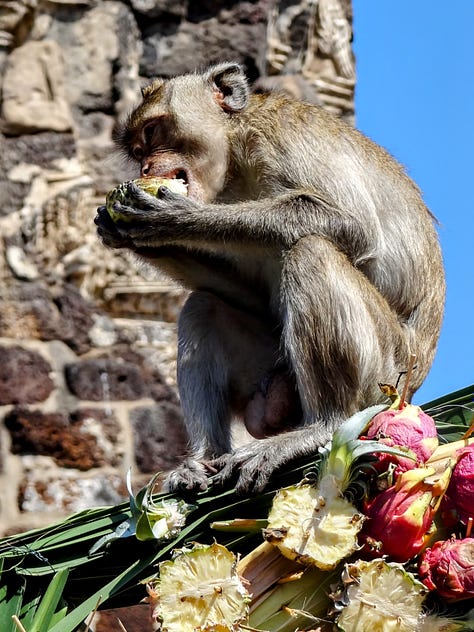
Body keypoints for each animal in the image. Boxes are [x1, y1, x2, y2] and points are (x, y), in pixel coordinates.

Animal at [95, 61, 444, 496]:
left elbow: (354, 226)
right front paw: (125, 233)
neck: (236, 154)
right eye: (139, 151)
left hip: (385, 373)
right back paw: (203, 461)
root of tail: (413, 384)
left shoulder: (285, 137)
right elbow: (250, 293)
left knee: (312, 253)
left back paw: (323, 424)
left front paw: (172, 218)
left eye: (153, 131)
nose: (144, 168)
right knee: (203, 306)